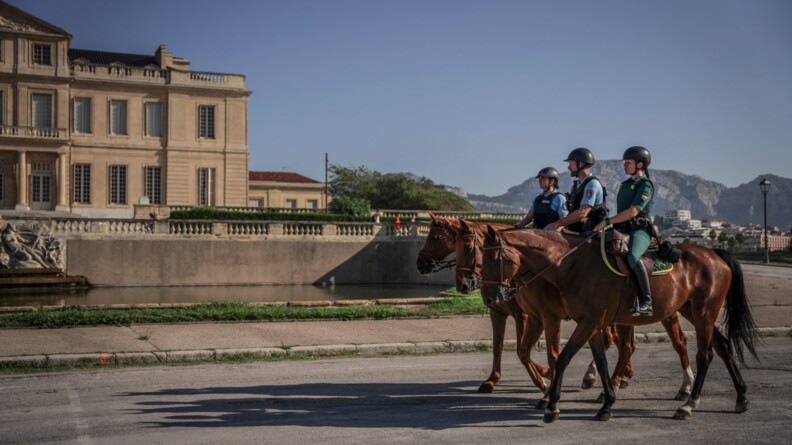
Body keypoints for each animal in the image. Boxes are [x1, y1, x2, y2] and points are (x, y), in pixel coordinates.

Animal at [414, 214, 552, 392]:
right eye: (456, 247)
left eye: (433, 237)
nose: (419, 263)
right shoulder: (497, 313)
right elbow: (498, 346)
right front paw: (492, 379)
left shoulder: (523, 315)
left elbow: (521, 349)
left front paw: (544, 373)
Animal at [458, 220, 692, 404]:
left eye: (471, 249)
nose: (465, 285)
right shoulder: (526, 316)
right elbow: (517, 351)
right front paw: (538, 381)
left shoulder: (545, 317)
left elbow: (551, 354)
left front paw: (547, 389)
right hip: (624, 318)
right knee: (626, 346)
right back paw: (613, 379)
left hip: (665, 312)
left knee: (676, 341)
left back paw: (683, 386)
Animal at [482, 227, 760, 422]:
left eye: (493, 258)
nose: (488, 298)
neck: (570, 265)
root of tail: (714, 253)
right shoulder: (591, 323)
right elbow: (601, 361)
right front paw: (606, 404)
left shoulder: (582, 321)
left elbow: (562, 358)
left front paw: (552, 406)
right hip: (694, 312)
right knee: (723, 347)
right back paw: (741, 396)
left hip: (703, 314)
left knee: (704, 355)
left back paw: (689, 404)